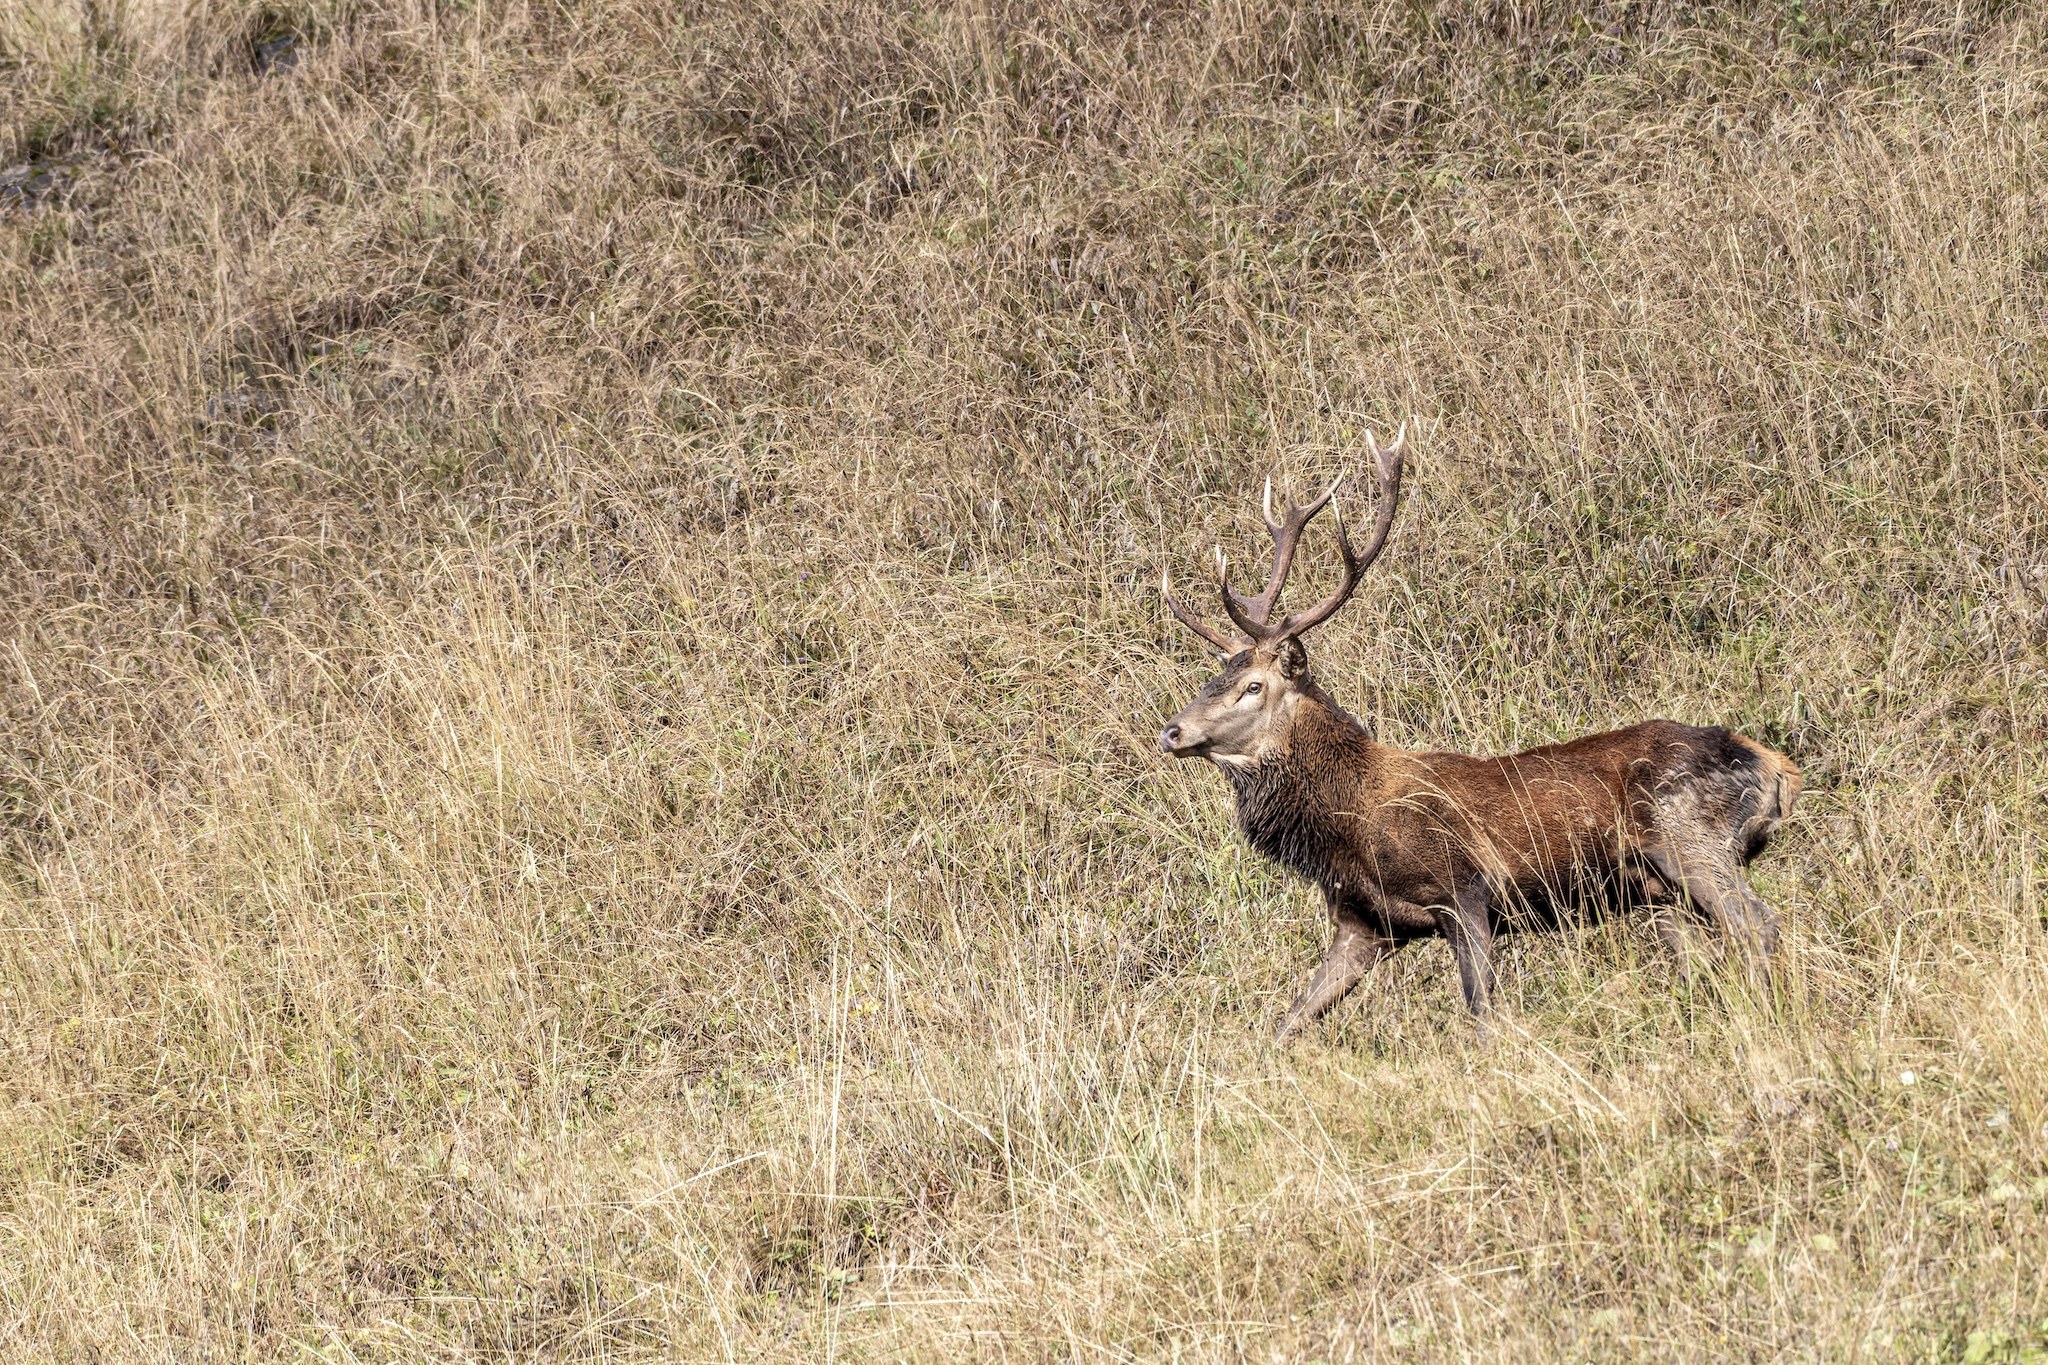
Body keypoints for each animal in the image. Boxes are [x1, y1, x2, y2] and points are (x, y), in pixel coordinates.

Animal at [1157, 424, 1802, 1042]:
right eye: (1215, 677)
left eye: (1253, 686)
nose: (1172, 731)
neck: (1348, 823)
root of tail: (1777, 768)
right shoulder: (1363, 924)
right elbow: (1286, 1023)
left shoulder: (1465, 889)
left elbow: (1481, 1014)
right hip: (1659, 893)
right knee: (1705, 959)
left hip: (1691, 840)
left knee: (1758, 926)